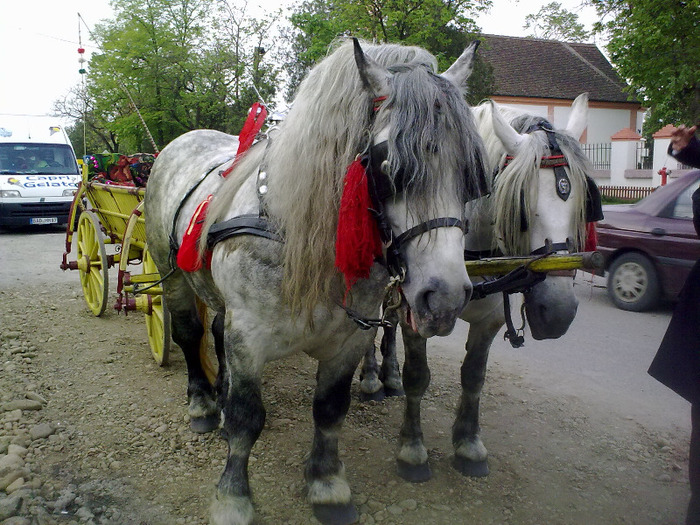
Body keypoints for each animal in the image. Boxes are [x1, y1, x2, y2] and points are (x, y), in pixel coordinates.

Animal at [144, 37, 486, 524]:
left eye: (473, 174)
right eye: (388, 167)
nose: (445, 297)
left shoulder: (349, 340)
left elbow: (329, 411)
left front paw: (327, 485)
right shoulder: (249, 336)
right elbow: (248, 417)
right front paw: (232, 498)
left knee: (215, 331)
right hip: (169, 274)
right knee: (191, 335)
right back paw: (204, 404)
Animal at [358, 93, 604, 478]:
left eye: (585, 203)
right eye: (520, 206)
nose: (557, 314)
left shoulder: (490, 321)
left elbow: (474, 377)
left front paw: (469, 445)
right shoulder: (421, 312)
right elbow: (418, 376)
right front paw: (412, 449)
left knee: (390, 321)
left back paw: (390, 375)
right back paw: (371, 378)